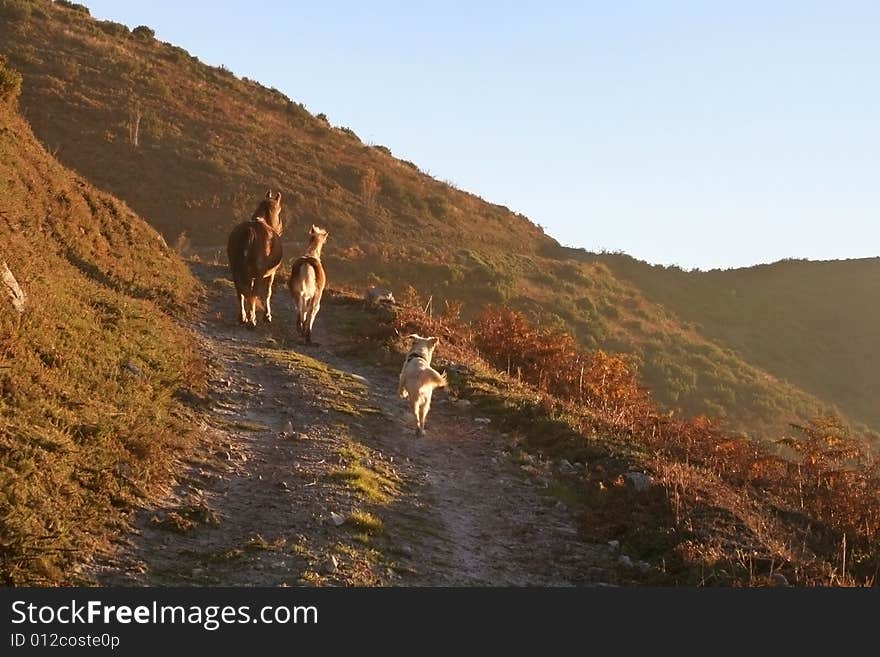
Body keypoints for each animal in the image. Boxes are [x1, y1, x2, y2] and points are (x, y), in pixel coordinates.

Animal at [227, 190, 282, 328]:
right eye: (279, 211)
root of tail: (249, 230)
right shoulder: (271, 273)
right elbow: (267, 292)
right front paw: (267, 316)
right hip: (258, 274)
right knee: (253, 293)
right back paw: (252, 321)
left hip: (235, 271)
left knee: (241, 292)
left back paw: (243, 317)